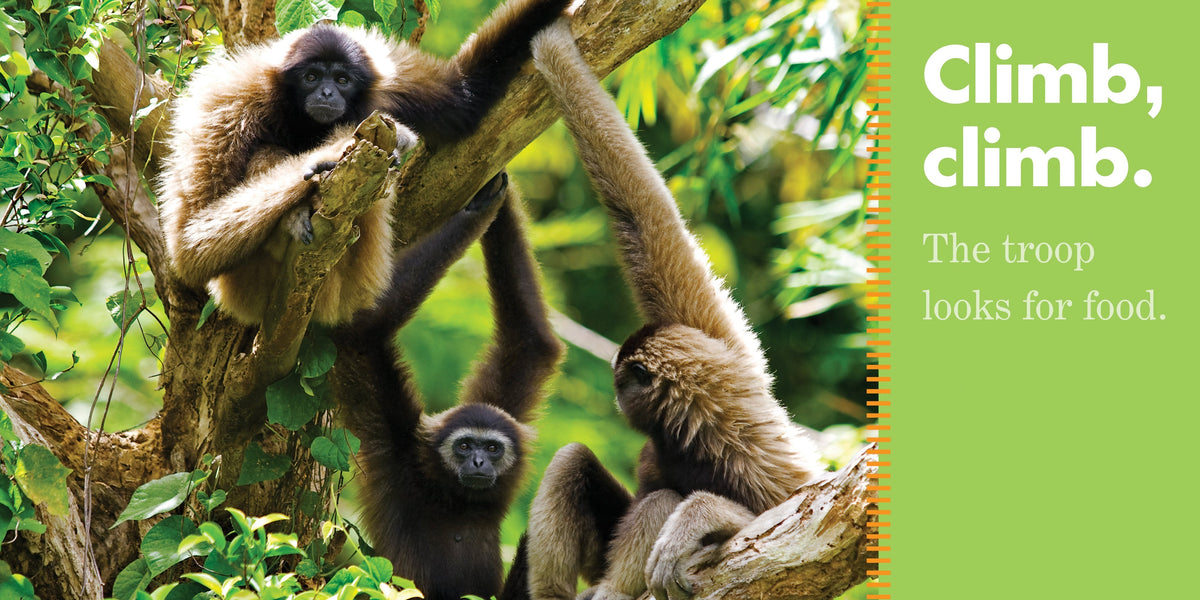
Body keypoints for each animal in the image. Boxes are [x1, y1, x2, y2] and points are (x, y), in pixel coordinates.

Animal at [158, 0, 572, 325]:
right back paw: (296, 215)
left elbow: (466, 97)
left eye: (342, 79)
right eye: (311, 77)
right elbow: (189, 247)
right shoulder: (228, 101)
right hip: (243, 284)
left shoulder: (392, 80)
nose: (327, 92)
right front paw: (330, 154)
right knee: (264, 155)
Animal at [332, 172, 564, 600]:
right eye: (465, 446)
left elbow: (529, 341)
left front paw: (499, 191)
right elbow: (361, 328)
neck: (453, 499)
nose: (479, 462)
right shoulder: (396, 444)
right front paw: (478, 210)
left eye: (492, 447)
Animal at [505, 19, 826, 600]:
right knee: (573, 461)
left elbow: (792, 517)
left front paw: (696, 521)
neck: (691, 424)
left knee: (660, 498)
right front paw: (554, 47)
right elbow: (644, 218)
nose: (614, 396)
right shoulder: (722, 342)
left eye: (618, 383)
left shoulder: (750, 449)